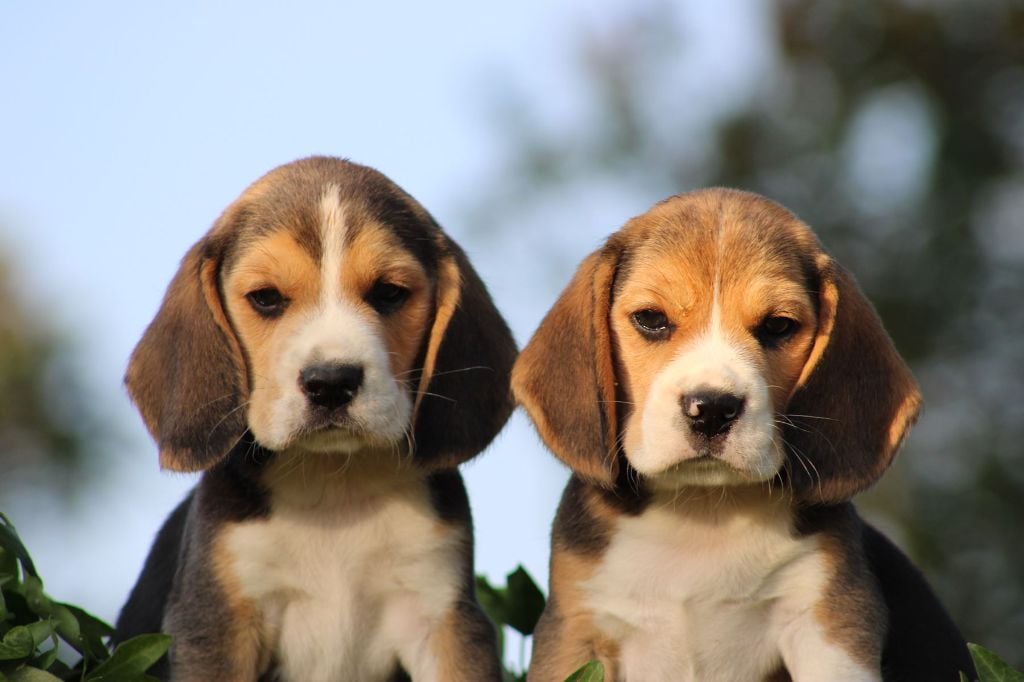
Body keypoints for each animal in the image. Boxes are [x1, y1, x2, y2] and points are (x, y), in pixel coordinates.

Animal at [116, 155, 516, 679]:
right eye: (266, 297)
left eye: (389, 293)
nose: (331, 382)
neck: (333, 484)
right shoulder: (216, 623)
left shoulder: (442, 616)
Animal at [516, 188, 970, 679]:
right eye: (651, 318)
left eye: (778, 326)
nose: (712, 409)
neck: (703, 512)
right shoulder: (574, 629)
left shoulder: (828, 624)